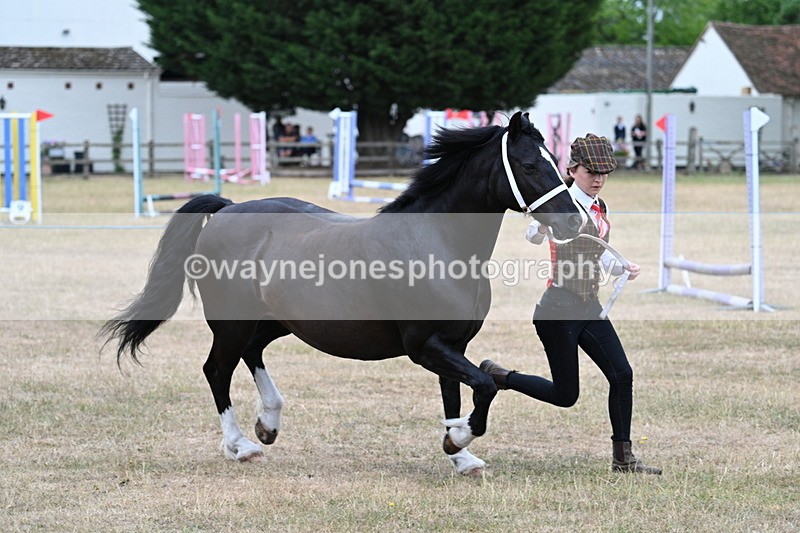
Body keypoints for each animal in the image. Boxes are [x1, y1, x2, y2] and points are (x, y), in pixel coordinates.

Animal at [100, 111, 586, 476]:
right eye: (529, 165)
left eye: (556, 160)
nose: (574, 221)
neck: (436, 241)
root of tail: (229, 208)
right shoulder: (425, 346)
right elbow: (484, 385)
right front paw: (460, 440)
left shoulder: (453, 344)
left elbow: (458, 393)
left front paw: (459, 452)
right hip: (232, 323)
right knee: (217, 370)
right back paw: (241, 446)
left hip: (279, 322)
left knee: (252, 353)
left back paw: (268, 423)